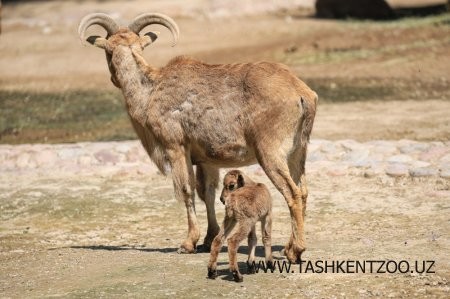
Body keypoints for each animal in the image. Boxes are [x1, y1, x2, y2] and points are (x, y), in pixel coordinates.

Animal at [78, 12, 316, 262]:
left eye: (106, 51)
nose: (113, 78)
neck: (151, 90)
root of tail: (301, 94)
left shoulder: (175, 147)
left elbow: (186, 190)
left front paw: (188, 243)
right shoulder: (206, 160)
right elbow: (208, 193)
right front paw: (209, 239)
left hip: (270, 153)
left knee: (292, 193)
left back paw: (295, 250)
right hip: (297, 152)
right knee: (304, 191)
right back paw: (290, 246)